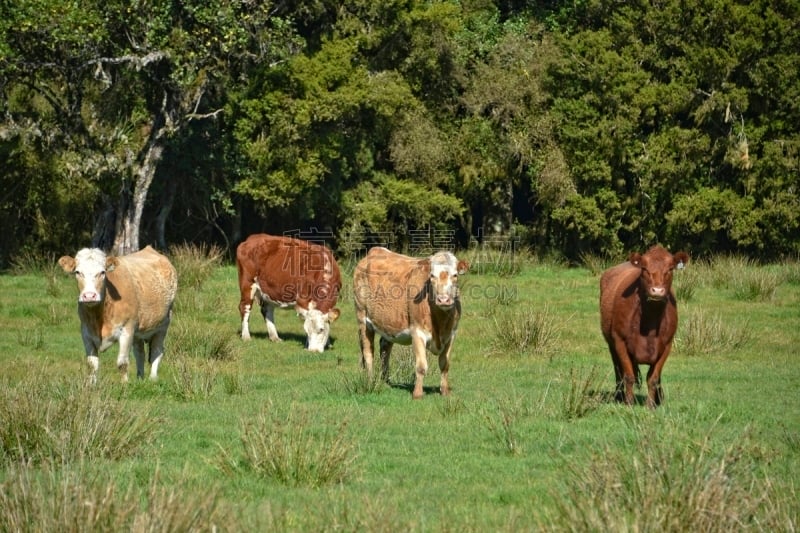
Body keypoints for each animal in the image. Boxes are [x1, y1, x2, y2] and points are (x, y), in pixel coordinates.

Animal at [58, 245, 178, 382]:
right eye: (78, 272)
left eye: (102, 272)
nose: (89, 296)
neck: (100, 317)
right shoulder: (86, 332)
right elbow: (92, 364)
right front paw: (91, 385)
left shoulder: (127, 330)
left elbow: (122, 363)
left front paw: (124, 384)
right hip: (138, 331)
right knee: (140, 353)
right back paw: (139, 378)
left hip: (163, 324)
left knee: (156, 352)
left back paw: (152, 378)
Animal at [352, 247, 468, 396]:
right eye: (432, 276)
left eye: (455, 275)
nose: (443, 300)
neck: (440, 323)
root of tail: (375, 251)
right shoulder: (417, 332)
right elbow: (421, 366)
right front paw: (417, 393)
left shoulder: (451, 334)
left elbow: (444, 364)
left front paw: (445, 391)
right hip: (362, 317)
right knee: (368, 352)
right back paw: (371, 381)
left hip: (389, 324)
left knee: (385, 348)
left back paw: (385, 381)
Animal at [600, 245, 688, 408]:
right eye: (645, 269)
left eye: (670, 269)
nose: (657, 290)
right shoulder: (620, 341)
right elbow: (628, 375)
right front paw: (628, 403)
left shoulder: (667, 345)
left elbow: (653, 377)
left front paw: (651, 404)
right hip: (611, 344)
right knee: (618, 371)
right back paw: (618, 395)